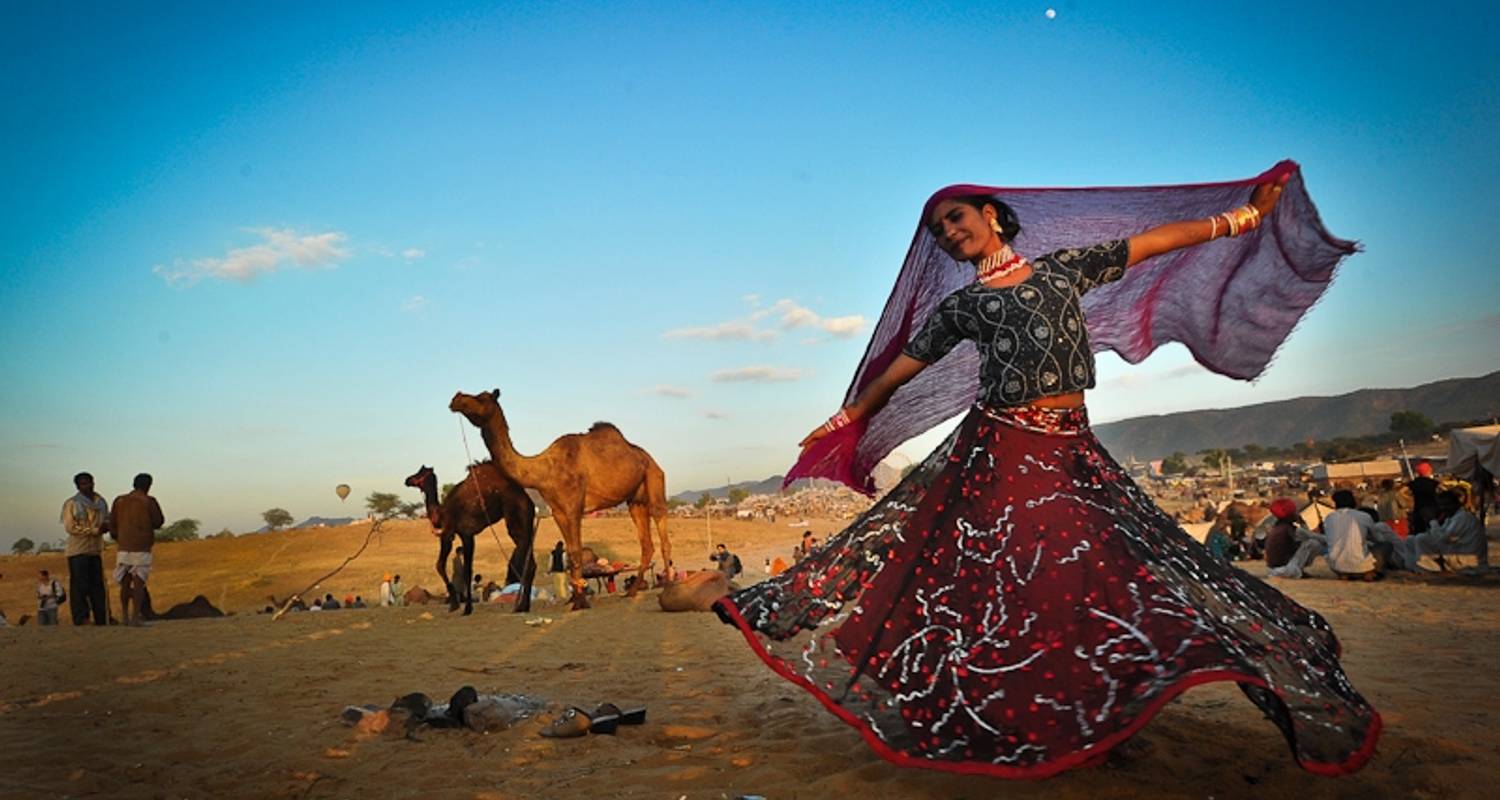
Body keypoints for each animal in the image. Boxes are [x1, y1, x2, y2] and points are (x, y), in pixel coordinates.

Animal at [402, 462, 537, 612]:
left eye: (420, 472)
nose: (407, 480)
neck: (442, 512)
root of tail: (529, 500)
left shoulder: (457, 534)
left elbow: (452, 567)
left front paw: (462, 607)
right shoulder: (463, 535)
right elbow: (460, 568)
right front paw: (459, 605)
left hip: (517, 519)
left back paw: (520, 606)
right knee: (530, 563)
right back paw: (523, 606)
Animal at [447, 390, 672, 609]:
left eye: (481, 397)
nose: (456, 398)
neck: (544, 470)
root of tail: (650, 459)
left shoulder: (573, 508)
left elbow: (576, 552)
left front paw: (581, 603)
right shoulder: (558, 512)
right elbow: (570, 555)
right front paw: (575, 599)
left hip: (654, 479)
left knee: (662, 530)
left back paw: (667, 586)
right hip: (635, 501)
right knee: (646, 544)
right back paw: (631, 592)